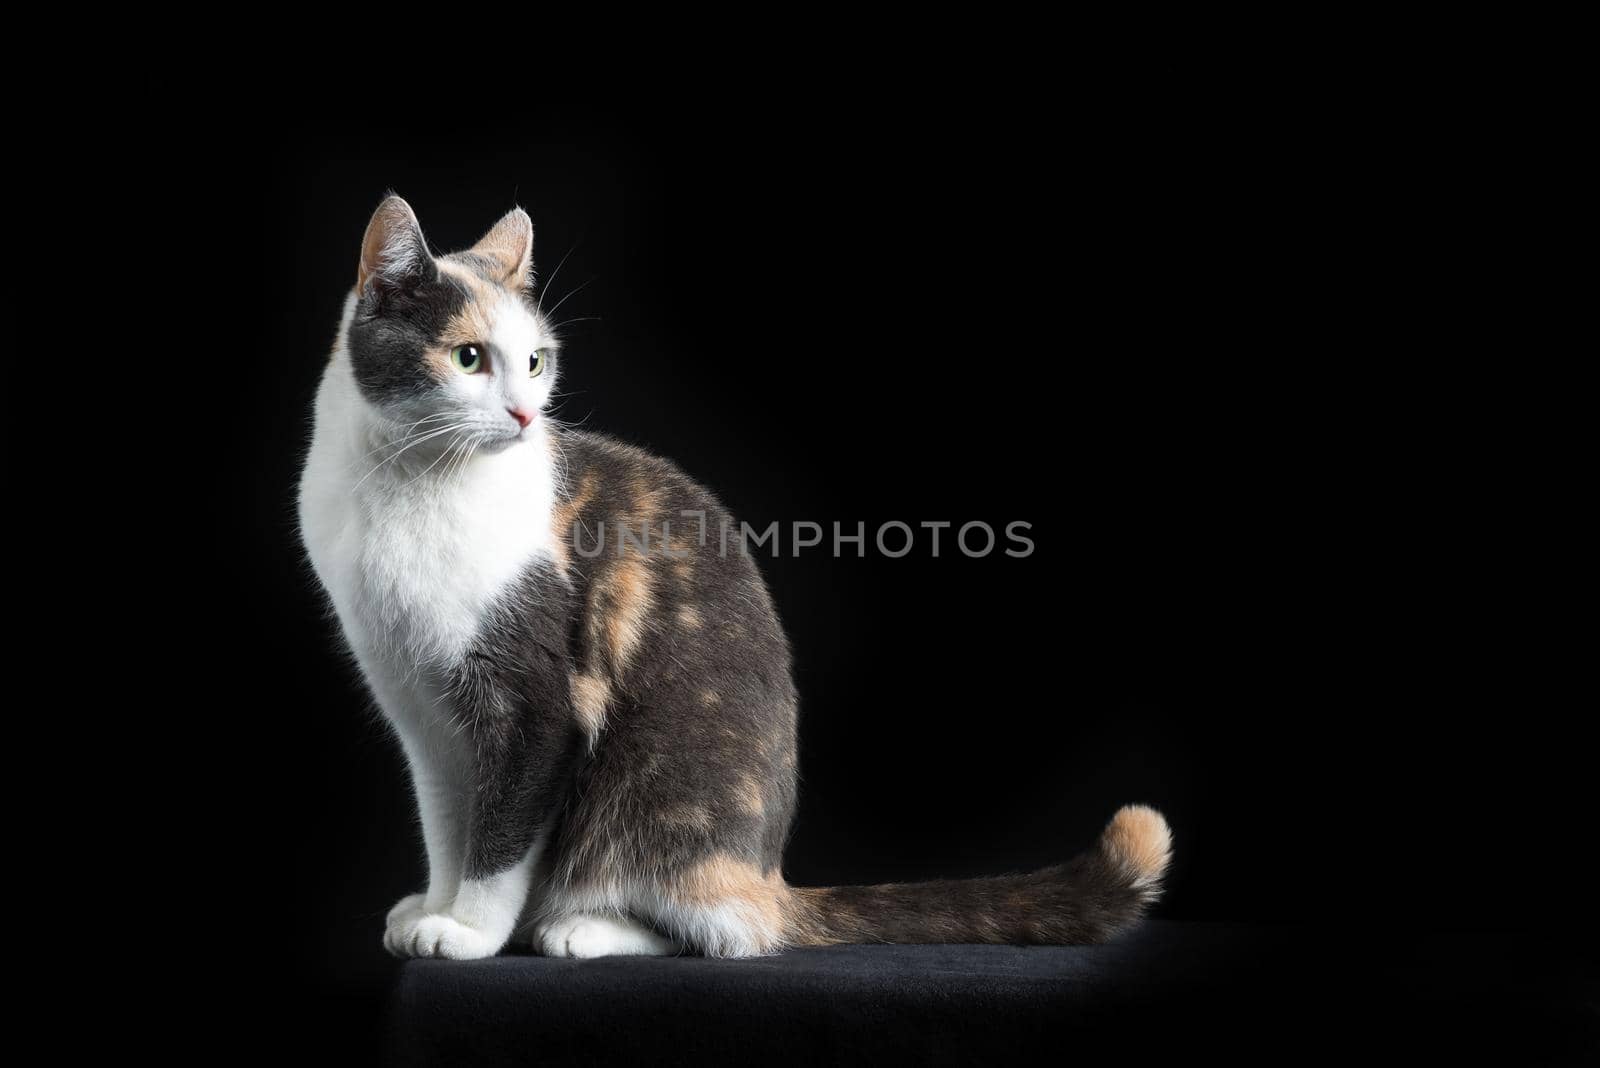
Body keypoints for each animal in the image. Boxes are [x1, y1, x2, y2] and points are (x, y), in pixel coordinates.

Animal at [297, 195, 1177, 965]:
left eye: (536, 362)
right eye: (468, 357)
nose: (522, 415)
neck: (410, 485)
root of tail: (768, 874)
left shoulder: (535, 705)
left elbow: (503, 832)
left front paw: (471, 931)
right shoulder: (421, 710)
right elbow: (450, 823)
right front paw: (437, 905)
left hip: (659, 789)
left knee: (725, 932)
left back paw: (582, 928)